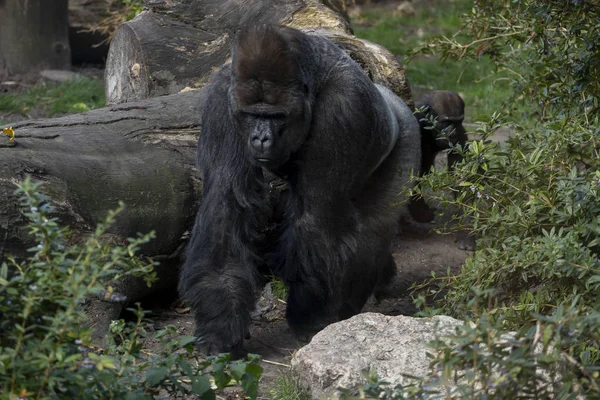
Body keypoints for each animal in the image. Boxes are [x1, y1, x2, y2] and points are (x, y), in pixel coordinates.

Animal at [178, 24, 422, 356]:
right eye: (252, 114)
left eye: (277, 116)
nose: (261, 139)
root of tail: (392, 96)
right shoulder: (221, 100)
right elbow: (225, 208)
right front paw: (221, 322)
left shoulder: (344, 107)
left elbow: (317, 217)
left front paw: (310, 317)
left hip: (408, 134)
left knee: (374, 228)